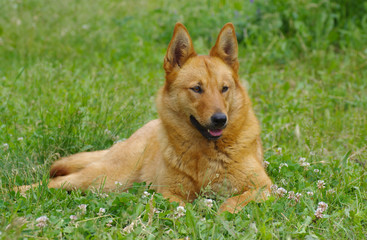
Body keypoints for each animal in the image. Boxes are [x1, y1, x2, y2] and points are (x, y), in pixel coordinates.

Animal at [18, 22, 274, 213]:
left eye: (224, 89)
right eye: (197, 89)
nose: (220, 119)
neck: (207, 152)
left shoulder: (264, 188)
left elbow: (232, 202)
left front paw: (219, 214)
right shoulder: (168, 192)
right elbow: (185, 207)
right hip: (106, 178)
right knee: (53, 182)